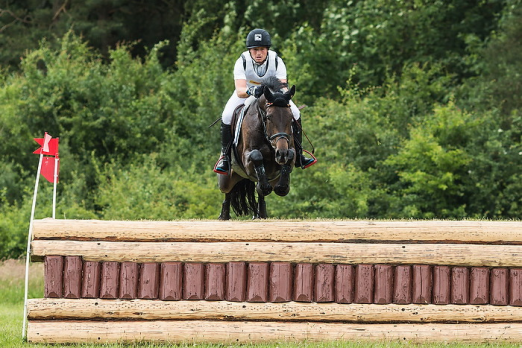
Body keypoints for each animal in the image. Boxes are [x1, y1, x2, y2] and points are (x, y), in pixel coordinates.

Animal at [216, 78, 294, 220]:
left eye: (291, 117)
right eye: (269, 117)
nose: (281, 154)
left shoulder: (288, 150)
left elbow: (291, 155)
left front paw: (282, 187)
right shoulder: (246, 159)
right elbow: (256, 155)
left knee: (260, 191)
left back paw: (261, 213)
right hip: (226, 179)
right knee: (227, 192)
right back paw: (224, 215)